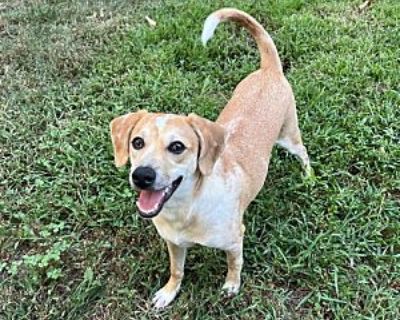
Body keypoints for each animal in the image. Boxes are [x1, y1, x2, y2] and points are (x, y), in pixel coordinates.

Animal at [110, 7, 312, 308]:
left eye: (177, 147)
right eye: (137, 142)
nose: (142, 176)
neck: (187, 208)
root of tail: (269, 69)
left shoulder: (235, 240)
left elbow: (234, 265)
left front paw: (231, 286)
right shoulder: (173, 243)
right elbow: (177, 269)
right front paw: (169, 292)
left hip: (289, 136)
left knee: (304, 153)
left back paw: (309, 177)